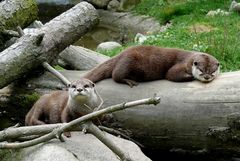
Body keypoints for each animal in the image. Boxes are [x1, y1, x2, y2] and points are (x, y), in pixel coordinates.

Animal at [83, 45, 220, 87]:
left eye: (212, 71)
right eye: (202, 70)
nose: (207, 77)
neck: (189, 60)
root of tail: (121, 53)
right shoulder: (180, 65)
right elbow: (171, 75)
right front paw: (190, 77)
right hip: (128, 61)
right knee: (115, 76)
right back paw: (129, 81)